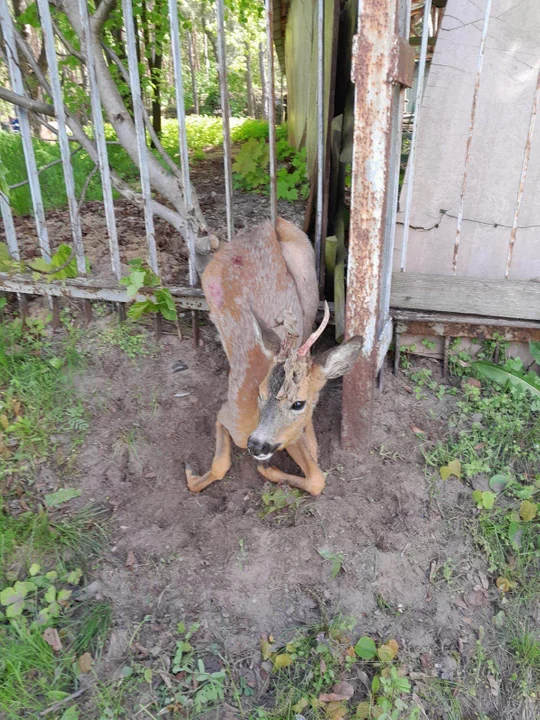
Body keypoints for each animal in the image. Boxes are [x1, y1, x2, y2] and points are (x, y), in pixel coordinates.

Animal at [186, 217, 362, 496]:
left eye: (298, 403)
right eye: (260, 393)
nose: (257, 445)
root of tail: (268, 223)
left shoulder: (291, 433)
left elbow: (317, 478)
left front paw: (270, 469)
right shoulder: (226, 414)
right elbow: (220, 465)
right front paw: (191, 472)